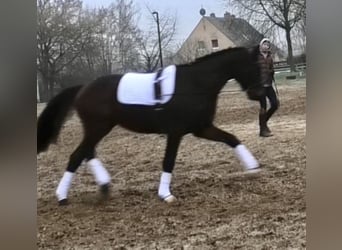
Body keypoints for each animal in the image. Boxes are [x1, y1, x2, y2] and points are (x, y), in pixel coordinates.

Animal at [38, 45, 266, 205]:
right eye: (255, 66)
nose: (259, 92)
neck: (196, 84)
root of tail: (82, 88)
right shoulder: (176, 132)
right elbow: (169, 161)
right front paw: (165, 195)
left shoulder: (201, 128)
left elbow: (232, 139)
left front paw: (253, 167)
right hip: (98, 128)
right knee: (77, 155)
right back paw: (62, 196)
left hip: (98, 128)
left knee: (87, 152)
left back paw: (103, 186)